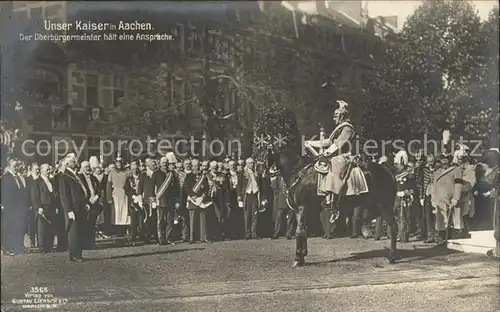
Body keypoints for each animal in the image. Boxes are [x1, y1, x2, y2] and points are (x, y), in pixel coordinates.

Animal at [252, 130, 400, 266]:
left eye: (263, 152)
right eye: (256, 153)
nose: (257, 172)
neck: (298, 172)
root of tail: (389, 172)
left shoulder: (302, 208)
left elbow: (299, 231)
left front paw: (298, 258)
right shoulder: (302, 210)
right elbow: (303, 230)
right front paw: (302, 254)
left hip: (384, 206)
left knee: (393, 227)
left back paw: (392, 256)